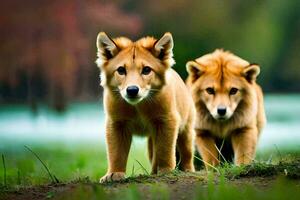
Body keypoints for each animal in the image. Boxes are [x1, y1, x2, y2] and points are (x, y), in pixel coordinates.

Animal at [95, 31, 196, 183]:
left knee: (186, 153)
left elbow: (165, 150)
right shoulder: (116, 123)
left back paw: (187, 170)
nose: (132, 90)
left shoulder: (167, 120)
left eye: (146, 70)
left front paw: (166, 171)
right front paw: (114, 174)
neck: (138, 106)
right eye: (121, 70)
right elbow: (116, 152)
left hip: (186, 130)